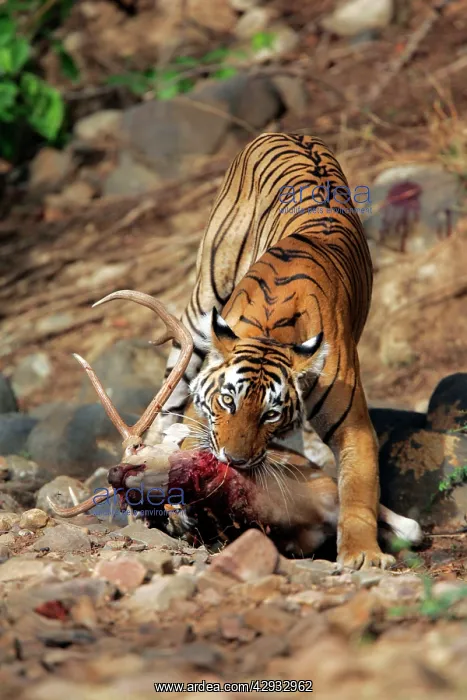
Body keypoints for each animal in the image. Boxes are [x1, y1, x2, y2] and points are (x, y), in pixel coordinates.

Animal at [148, 132, 395, 570]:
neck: (273, 333)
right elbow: (190, 440)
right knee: (169, 394)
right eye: (227, 401)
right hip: (200, 307)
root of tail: (287, 132)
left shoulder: (352, 426)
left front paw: (363, 554)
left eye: (271, 414)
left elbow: (359, 489)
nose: (235, 461)